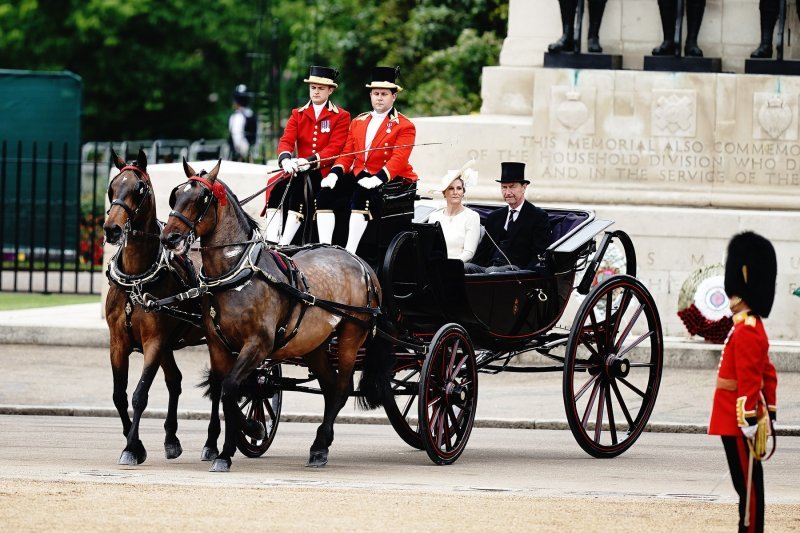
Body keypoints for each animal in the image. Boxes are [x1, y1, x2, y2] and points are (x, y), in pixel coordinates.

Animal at [103, 148, 205, 464]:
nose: (111, 229)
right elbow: (119, 395)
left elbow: (140, 394)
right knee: (175, 380)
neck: (137, 279)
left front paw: (131, 448)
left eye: (140, 189)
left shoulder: (154, 341)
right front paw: (135, 442)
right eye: (112, 187)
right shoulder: (118, 342)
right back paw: (171, 439)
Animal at [159, 158, 384, 470]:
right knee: (329, 386)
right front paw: (229, 447)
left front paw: (248, 432)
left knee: (341, 388)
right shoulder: (218, 345)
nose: (169, 238)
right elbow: (226, 391)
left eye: (202, 198)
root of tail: (360, 262)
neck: (237, 276)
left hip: (351, 337)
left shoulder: (258, 344)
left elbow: (230, 387)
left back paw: (320, 445)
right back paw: (320, 442)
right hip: (313, 343)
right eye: (176, 195)